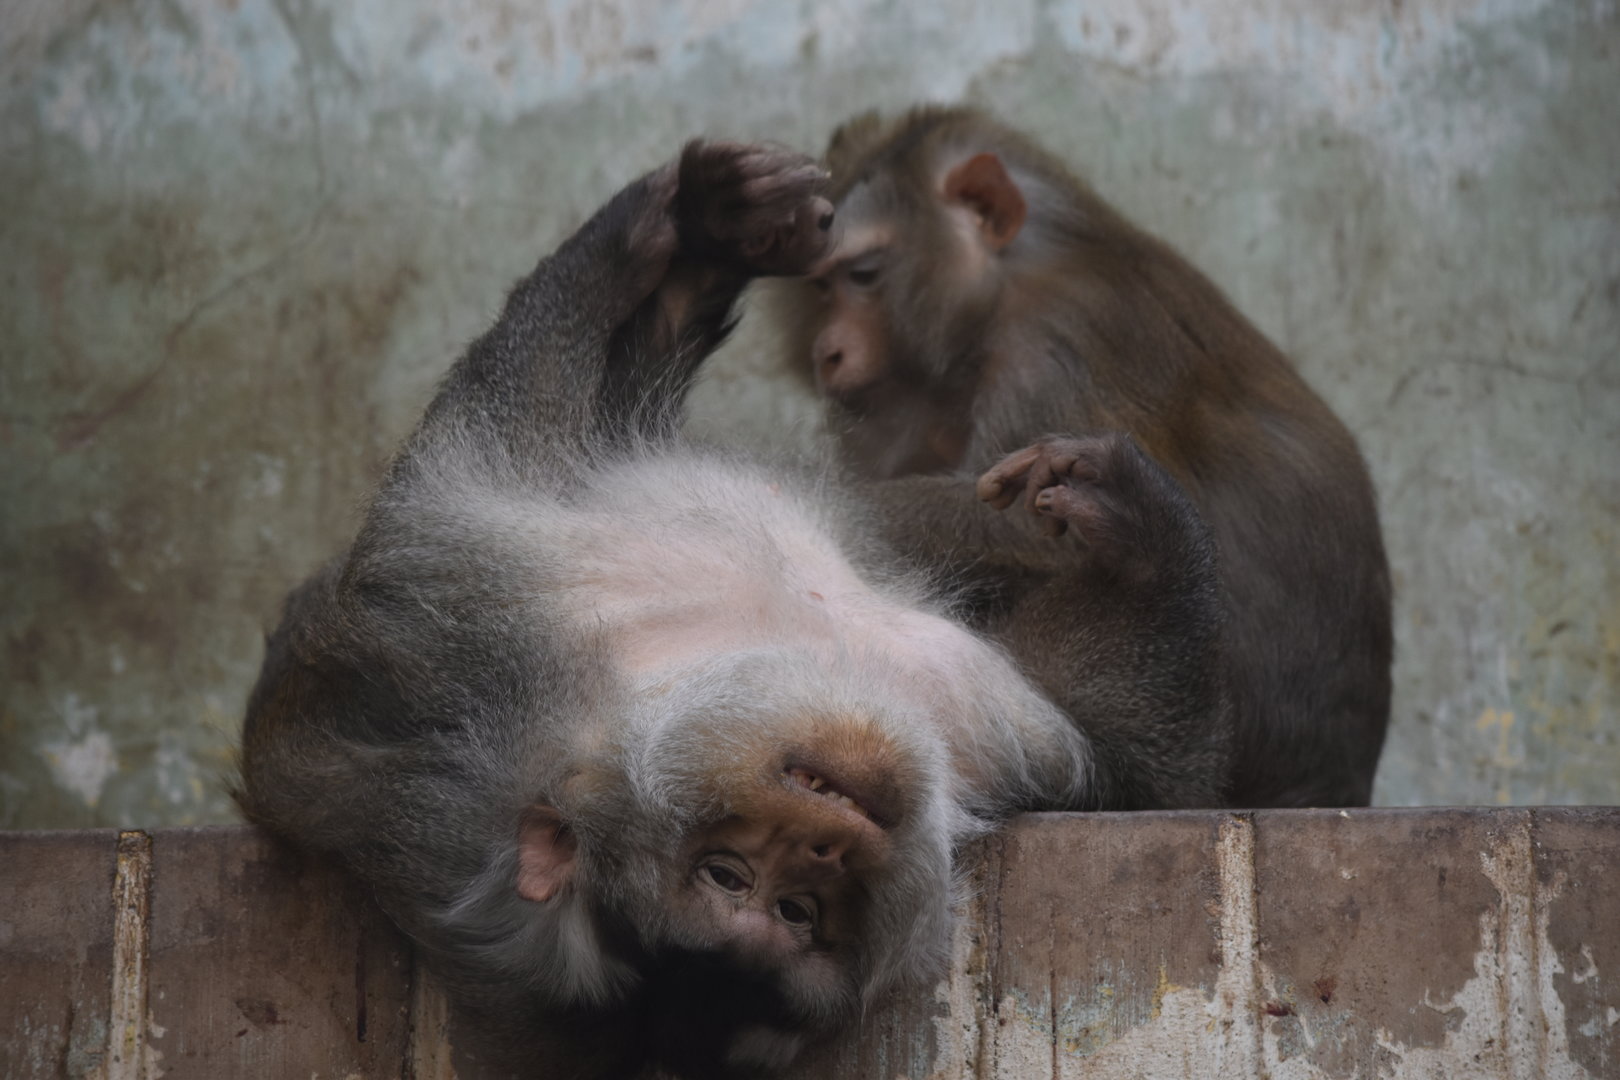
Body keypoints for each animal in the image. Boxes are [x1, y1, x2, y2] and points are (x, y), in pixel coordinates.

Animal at [235, 139, 1226, 1077]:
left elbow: (1128, 769)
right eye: (738, 882)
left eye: (795, 908)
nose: (830, 842)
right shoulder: (476, 623)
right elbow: (484, 441)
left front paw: (710, 229)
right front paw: (637, 232)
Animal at [773, 105, 1393, 809]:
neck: (1013, 277)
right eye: (822, 289)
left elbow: (1037, 529)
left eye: (864, 275)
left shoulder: (1050, 349)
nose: (826, 352)